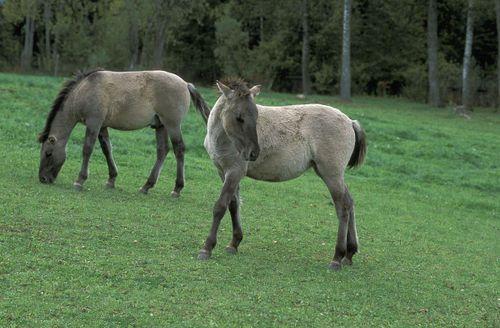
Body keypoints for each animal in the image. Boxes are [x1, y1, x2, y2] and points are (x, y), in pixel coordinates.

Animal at [38, 69, 190, 197]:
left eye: (48, 153)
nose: (43, 179)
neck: (84, 91)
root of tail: (185, 84)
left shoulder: (94, 123)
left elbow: (87, 149)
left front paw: (79, 181)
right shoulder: (102, 126)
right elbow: (107, 149)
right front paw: (111, 180)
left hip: (172, 125)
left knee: (179, 150)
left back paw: (177, 189)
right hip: (160, 126)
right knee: (162, 150)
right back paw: (146, 186)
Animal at [188, 79, 368, 270]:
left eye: (256, 116)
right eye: (239, 117)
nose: (253, 153)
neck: (223, 138)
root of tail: (350, 122)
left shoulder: (235, 172)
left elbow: (220, 206)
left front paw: (206, 248)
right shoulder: (223, 171)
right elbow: (234, 204)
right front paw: (233, 244)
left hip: (332, 175)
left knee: (342, 207)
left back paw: (337, 258)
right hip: (331, 174)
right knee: (349, 202)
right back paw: (349, 254)